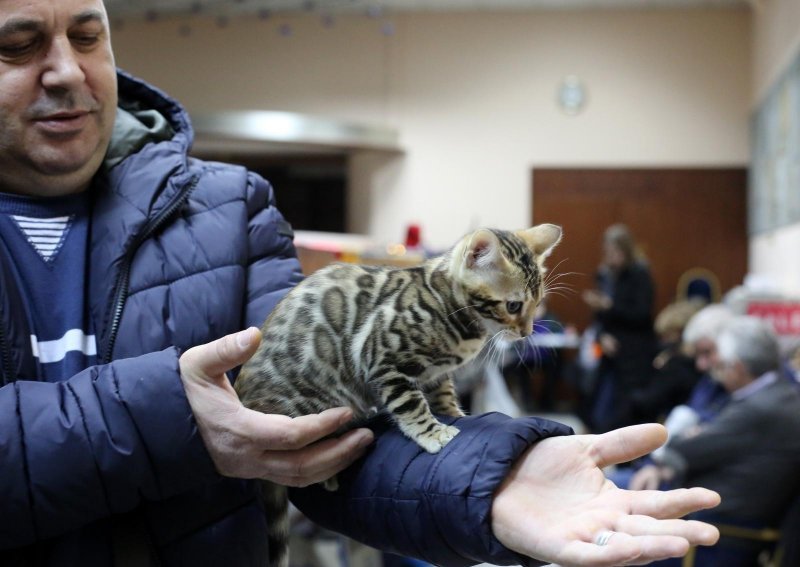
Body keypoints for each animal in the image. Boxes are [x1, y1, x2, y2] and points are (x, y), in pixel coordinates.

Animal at [234, 223, 564, 567]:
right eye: (514, 305)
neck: (449, 305)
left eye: (538, 303)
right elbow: (411, 404)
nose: (527, 333)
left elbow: (442, 393)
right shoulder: (380, 358)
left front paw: (453, 414)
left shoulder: (436, 373)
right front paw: (434, 433)